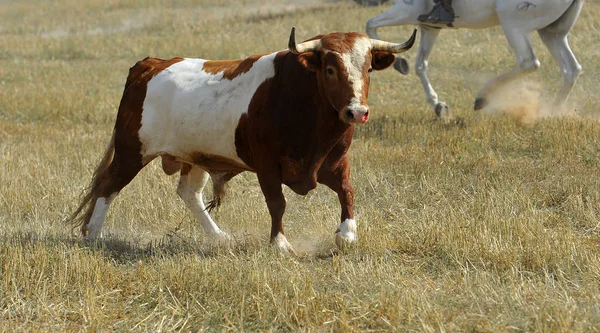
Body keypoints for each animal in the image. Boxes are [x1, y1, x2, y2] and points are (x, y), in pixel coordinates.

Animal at [70, 27, 414, 252]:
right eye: (330, 69)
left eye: (368, 68)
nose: (357, 112)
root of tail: (150, 64)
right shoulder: (267, 166)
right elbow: (277, 203)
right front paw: (280, 244)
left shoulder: (335, 161)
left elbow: (347, 192)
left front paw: (347, 233)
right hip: (132, 150)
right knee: (109, 186)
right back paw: (93, 233)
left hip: (195, 156)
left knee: (189, 193)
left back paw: (217, 236)